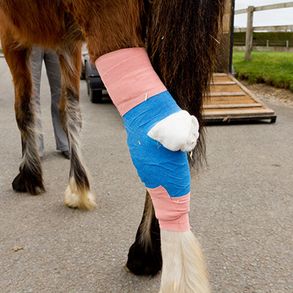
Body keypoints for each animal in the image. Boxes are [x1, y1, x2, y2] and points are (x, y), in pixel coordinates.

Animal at [0, 1, 224, 290]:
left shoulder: (12, 37)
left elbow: (24, 109)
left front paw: (29, 175)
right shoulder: (68, 43)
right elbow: (70, 109)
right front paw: (79, 187)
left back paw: (157, 261)